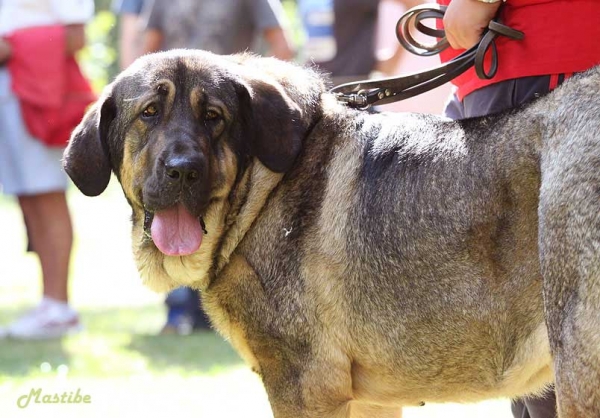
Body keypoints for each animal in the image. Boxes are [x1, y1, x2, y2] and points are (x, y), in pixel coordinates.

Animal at [62, 50, 600, 416]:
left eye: (213, 117)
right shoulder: (369, 398)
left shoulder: (305, 386)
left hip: (576, 368)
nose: (183, 170)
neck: (264, 187)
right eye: (149, 113)